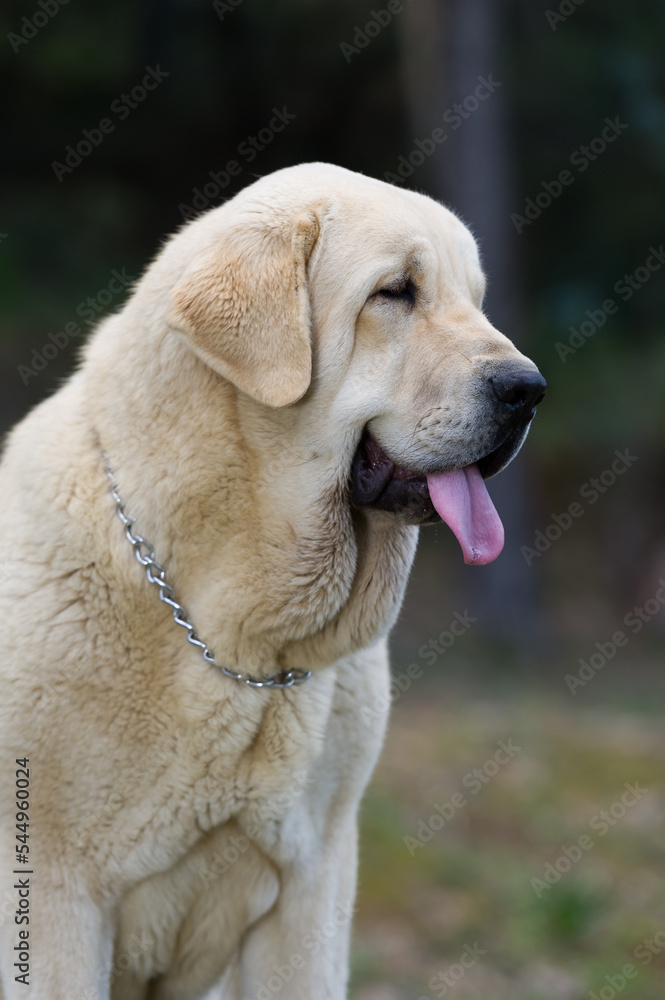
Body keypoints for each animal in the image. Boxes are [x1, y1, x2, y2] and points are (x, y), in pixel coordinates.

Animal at [0, 160, 544, 996]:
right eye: (396, 292)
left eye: (474, 301)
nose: (527, 389)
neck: (239, 644)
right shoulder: (56, 897)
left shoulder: (311, 890)